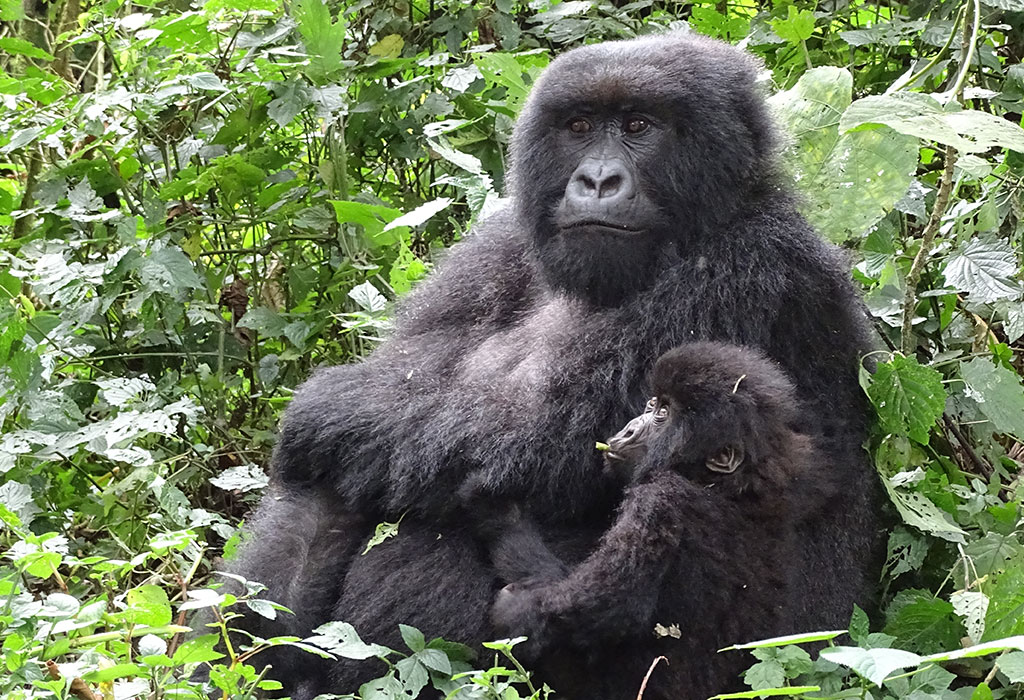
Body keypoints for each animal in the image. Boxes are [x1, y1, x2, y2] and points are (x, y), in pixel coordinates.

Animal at [479, 341, 831, 695]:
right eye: (652, 403)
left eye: (662, 414)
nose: (629, 428)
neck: (725, 485)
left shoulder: (660, 500)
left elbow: (603, 604)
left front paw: (500, 521)